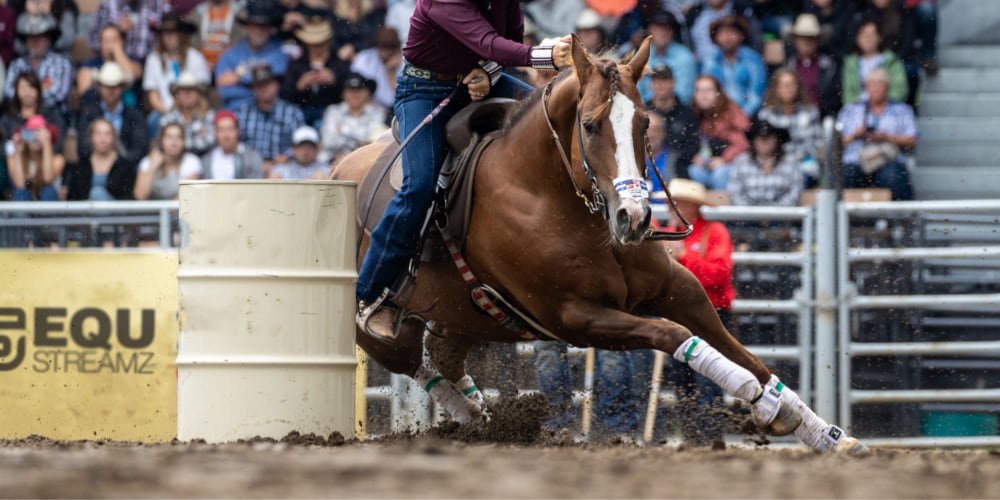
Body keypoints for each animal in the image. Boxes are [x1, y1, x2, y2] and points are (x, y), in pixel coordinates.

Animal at [332, 36, 864, 454]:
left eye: (645, 122)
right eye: (589, 125)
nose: (635, 217)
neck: (550, 195)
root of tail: (338, 170)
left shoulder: (679, 288)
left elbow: (743, 352)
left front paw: (816, 427)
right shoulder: (576, 318)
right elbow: (676, 337)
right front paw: (753, 397)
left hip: (463, 315)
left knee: (442, 358)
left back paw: (481, 412)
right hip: (379, 330)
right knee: (415, 362)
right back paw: (473, 414)